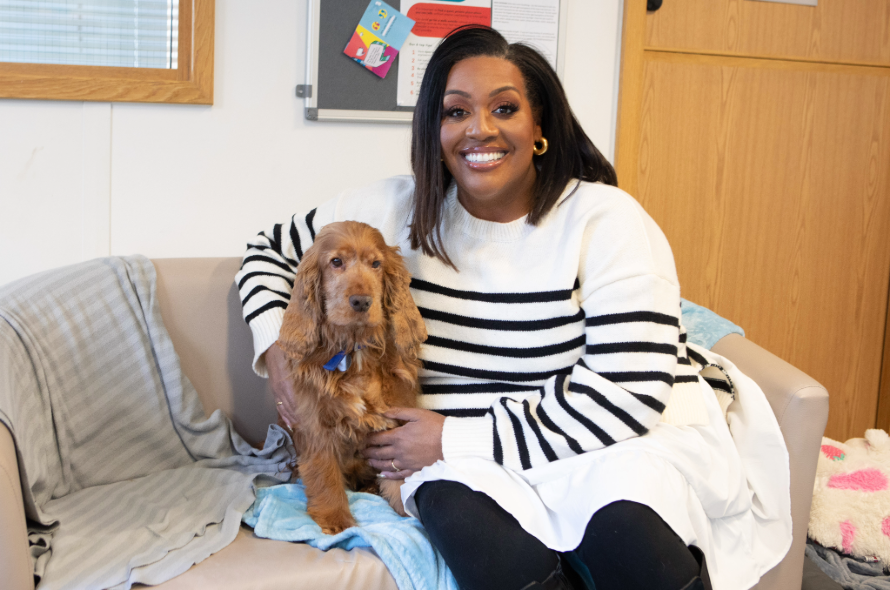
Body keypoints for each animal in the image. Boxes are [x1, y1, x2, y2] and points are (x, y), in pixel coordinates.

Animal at [278, 222, 430, 536]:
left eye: (376, 264)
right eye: (336, 262)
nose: (361, 301)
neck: (354, 349)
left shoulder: (393, 423)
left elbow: (396, 475)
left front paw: (405, 511)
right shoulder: (315, 425)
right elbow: (324, 473)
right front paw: (334, 518)